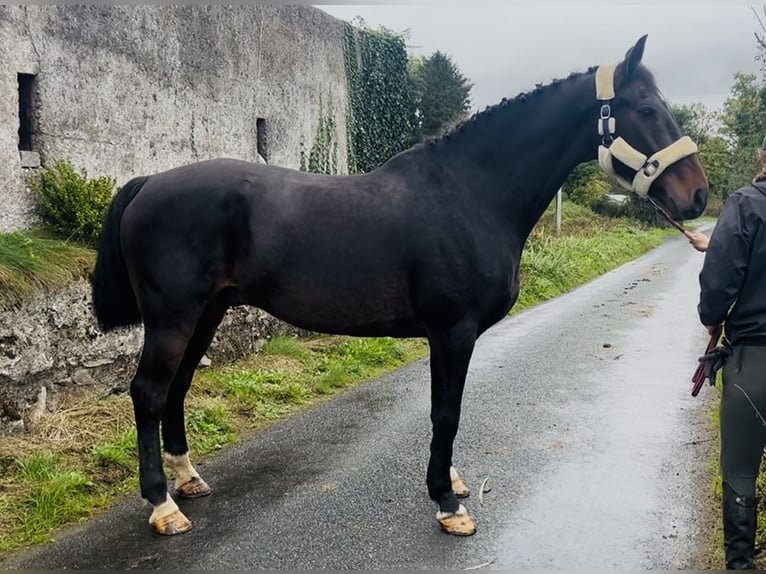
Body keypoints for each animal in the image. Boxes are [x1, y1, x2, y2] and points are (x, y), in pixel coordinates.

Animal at [91, 35, 708, 537]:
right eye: (646, 108)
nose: (698, 196)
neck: (469, 194)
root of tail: (149, 183)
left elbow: (448, 410)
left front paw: (451, 483)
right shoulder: (453, 331)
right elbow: (446, 412)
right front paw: (447, 504)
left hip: (207, 312)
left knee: (176, 388)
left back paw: (186, 479)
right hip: (174, 316)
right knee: (148, 392)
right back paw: (163, 506)